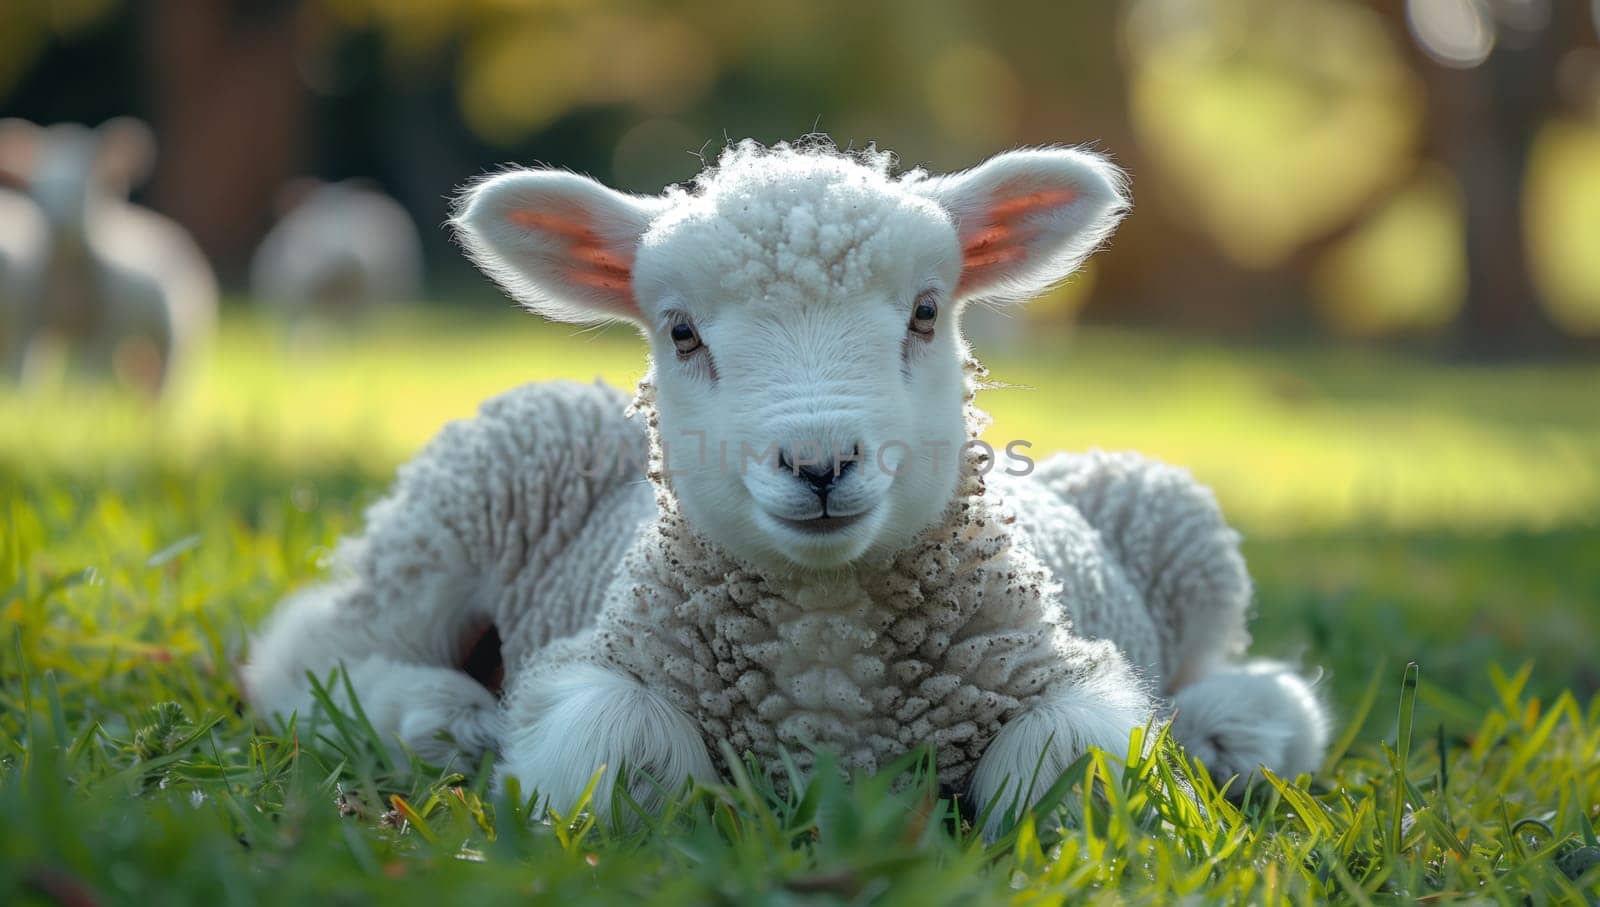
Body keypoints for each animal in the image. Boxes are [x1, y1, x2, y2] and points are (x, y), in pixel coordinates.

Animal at [0, 116, 216, 390]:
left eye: (90, 188)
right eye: (37, 187)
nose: (62, 223)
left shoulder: (106, 332)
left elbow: (88, 381)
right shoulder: (27, 323)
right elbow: (21, 377)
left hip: (174, 336)